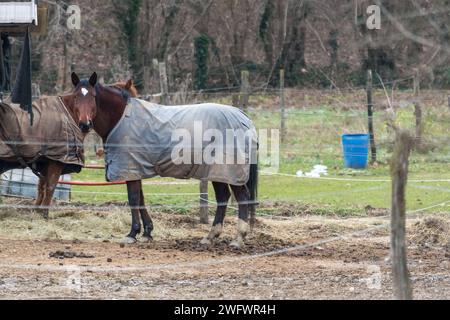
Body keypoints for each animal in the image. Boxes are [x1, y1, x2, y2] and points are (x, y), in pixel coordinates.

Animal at [71, 72, 260, 248]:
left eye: (93, 96)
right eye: (75, 97)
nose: (85, 125)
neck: (121, 118)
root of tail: (245, 119)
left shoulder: (130, 168)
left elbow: (133, 199)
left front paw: (132, 233)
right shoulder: (136, 169)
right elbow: (141, 199)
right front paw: (147, 232)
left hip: (229, 170)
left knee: (242, 197)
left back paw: (238, 238)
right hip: (217, 172)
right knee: (223, 197)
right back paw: (210, 236)